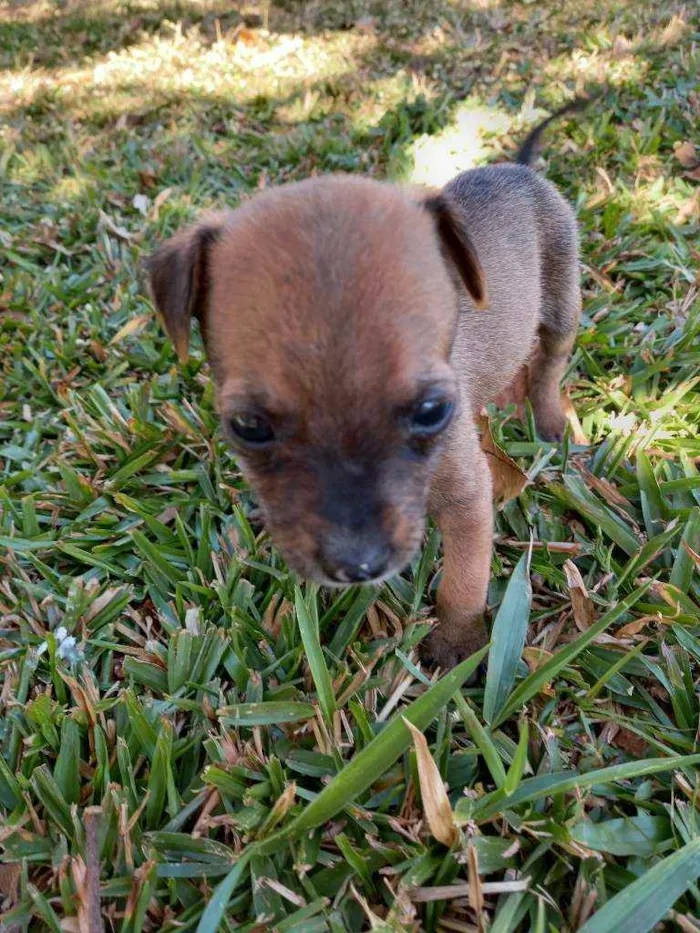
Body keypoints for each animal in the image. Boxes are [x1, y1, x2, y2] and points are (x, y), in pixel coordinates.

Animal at [150, 105, 584, 668]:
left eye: (432, 410)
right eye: (248, 426)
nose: (358, 566)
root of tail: (518, 169)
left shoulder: (468, 499)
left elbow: (463, 582)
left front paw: (455, 645)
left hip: (562, 299)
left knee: (550, 361)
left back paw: (548, 417)